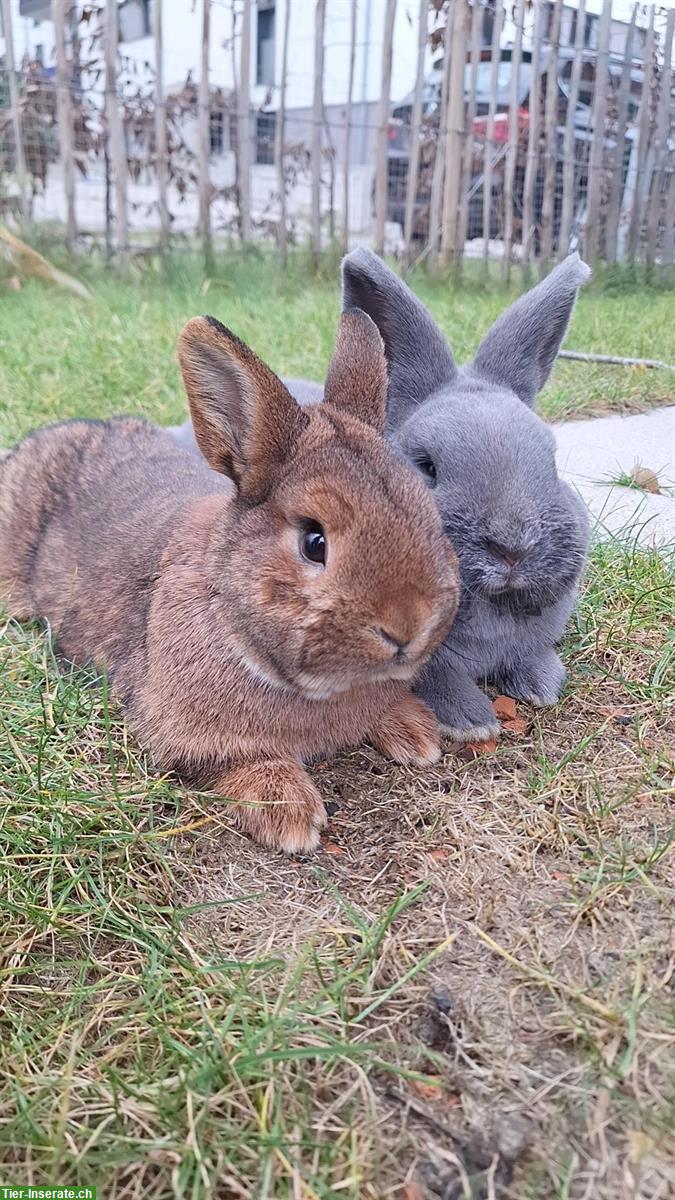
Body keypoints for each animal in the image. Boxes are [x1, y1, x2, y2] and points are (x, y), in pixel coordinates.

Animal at [0, 309, 456, 854]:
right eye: (314, 542)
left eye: (427, 508)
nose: (409, 626)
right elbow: (239, 762)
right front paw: (291, 816)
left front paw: (415, 735)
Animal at [166, 252, 588, 739]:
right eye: (426, 466)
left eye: (551, 460)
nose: (512, 548)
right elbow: (437, 679)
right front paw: (472, 721)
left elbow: (534, 654)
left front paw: (541, 684)